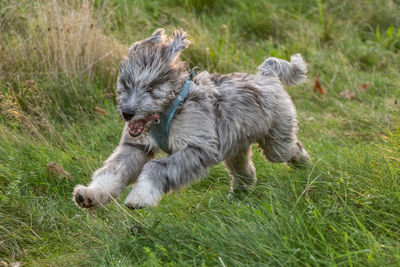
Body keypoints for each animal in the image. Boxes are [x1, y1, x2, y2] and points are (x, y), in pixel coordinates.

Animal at [72, 28, 310, 210]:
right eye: (126, 83)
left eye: (150, 87)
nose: (127, 113)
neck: (171, 108)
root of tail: (266, 76)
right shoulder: (136, 147)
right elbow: (113, 171)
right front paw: (90, 194)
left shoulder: (198, 148)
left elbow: (156, 167)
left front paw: (139, 197)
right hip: (236, 146)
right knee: (245, 171)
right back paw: (238, 195)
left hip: (276, 140)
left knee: (290, 149)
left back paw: (305, 167)